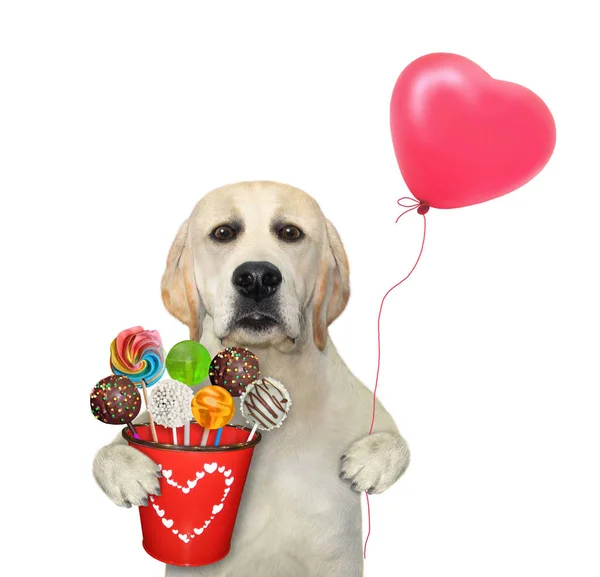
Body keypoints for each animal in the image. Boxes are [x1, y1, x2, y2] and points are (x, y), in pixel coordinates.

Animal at [94, 181, 410, 576]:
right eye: (223, 233)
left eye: (290, 233)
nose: (257, 277)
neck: (270, 367)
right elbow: (109, 449)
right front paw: (130, 472)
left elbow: (399, 442)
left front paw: (369, 461)